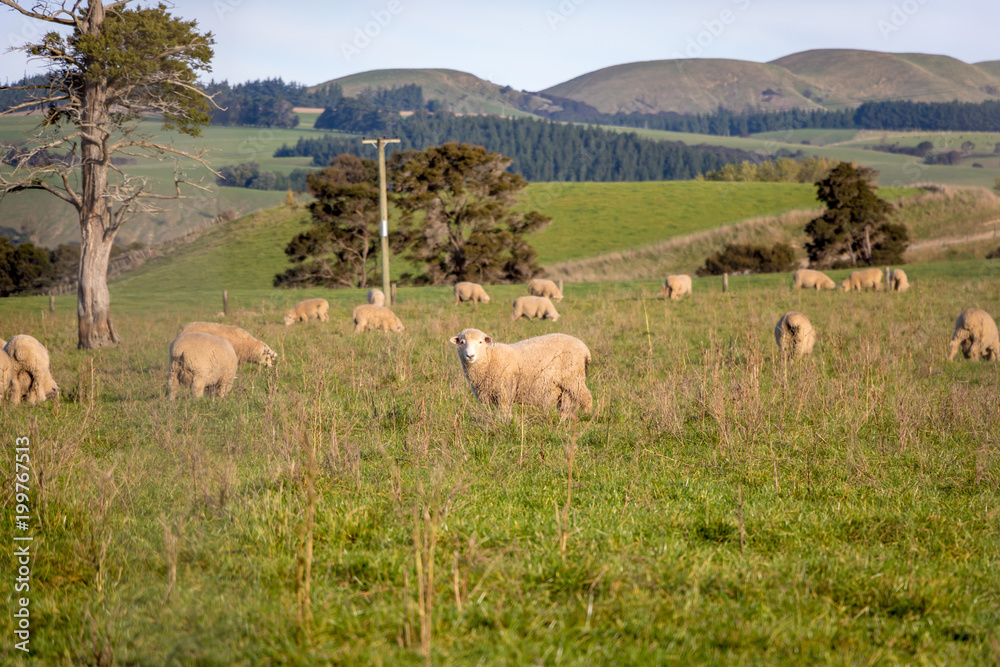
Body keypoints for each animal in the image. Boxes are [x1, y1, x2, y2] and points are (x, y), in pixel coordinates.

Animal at [449, 328, 592, 417]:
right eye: (462, 342)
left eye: (480, 342)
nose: (470, 356)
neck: (489, 358)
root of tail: (584, 348)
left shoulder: (505, 391)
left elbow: (504, 411)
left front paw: (504, 424)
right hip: (565, 385)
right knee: (565, 406)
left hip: (574, 378)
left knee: (586, 397)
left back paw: (588, 416)